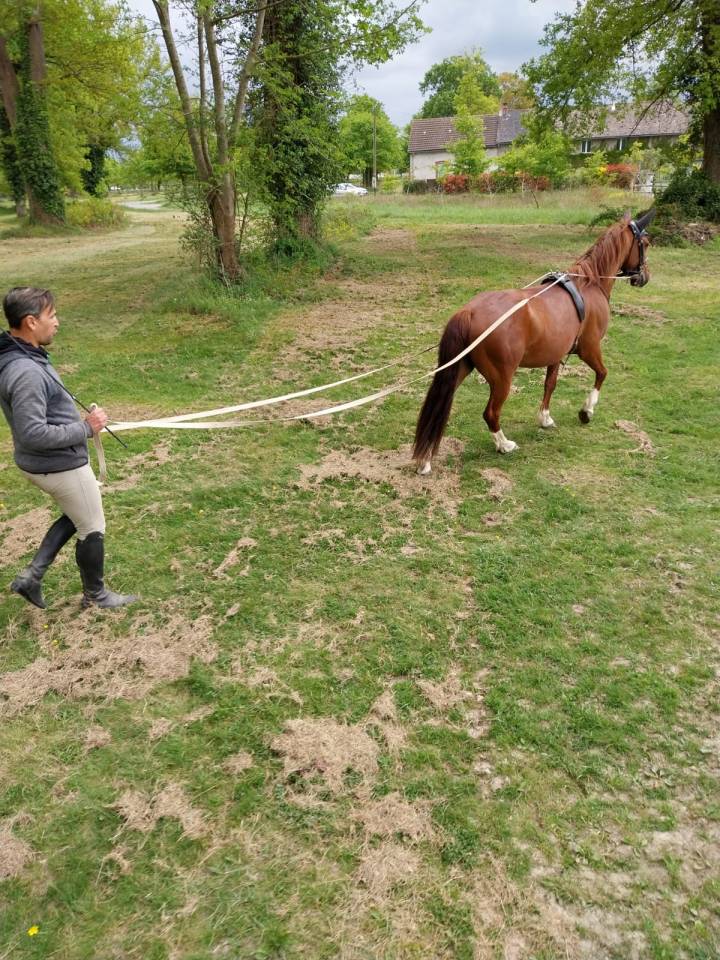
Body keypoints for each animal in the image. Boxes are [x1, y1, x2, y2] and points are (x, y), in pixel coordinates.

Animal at [413, 210, 654, 475]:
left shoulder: (556, 355)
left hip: (460, 368)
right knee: (491, 413)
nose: (644, 277)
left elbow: (550, 385)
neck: (589, 284)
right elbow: (602, 374)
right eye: (644, 244)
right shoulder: (589, 349)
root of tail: (469, 311)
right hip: (502, 379)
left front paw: (545, 418)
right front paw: (587, 410)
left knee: (438, 409)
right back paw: (504, 444)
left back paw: (425, 460)